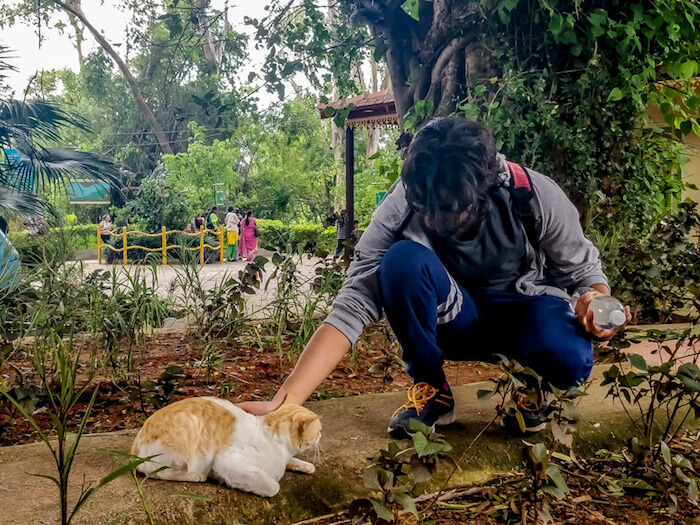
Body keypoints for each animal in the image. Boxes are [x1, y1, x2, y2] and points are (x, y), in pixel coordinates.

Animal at [130, 392, 322, 496]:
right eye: (319, 430)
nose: (321, 434)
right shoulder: (227, 462)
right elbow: (273, 486)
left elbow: (293, 462)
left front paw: (305, 466)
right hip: (186, 440)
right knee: (154, 471)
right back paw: (195, 475)